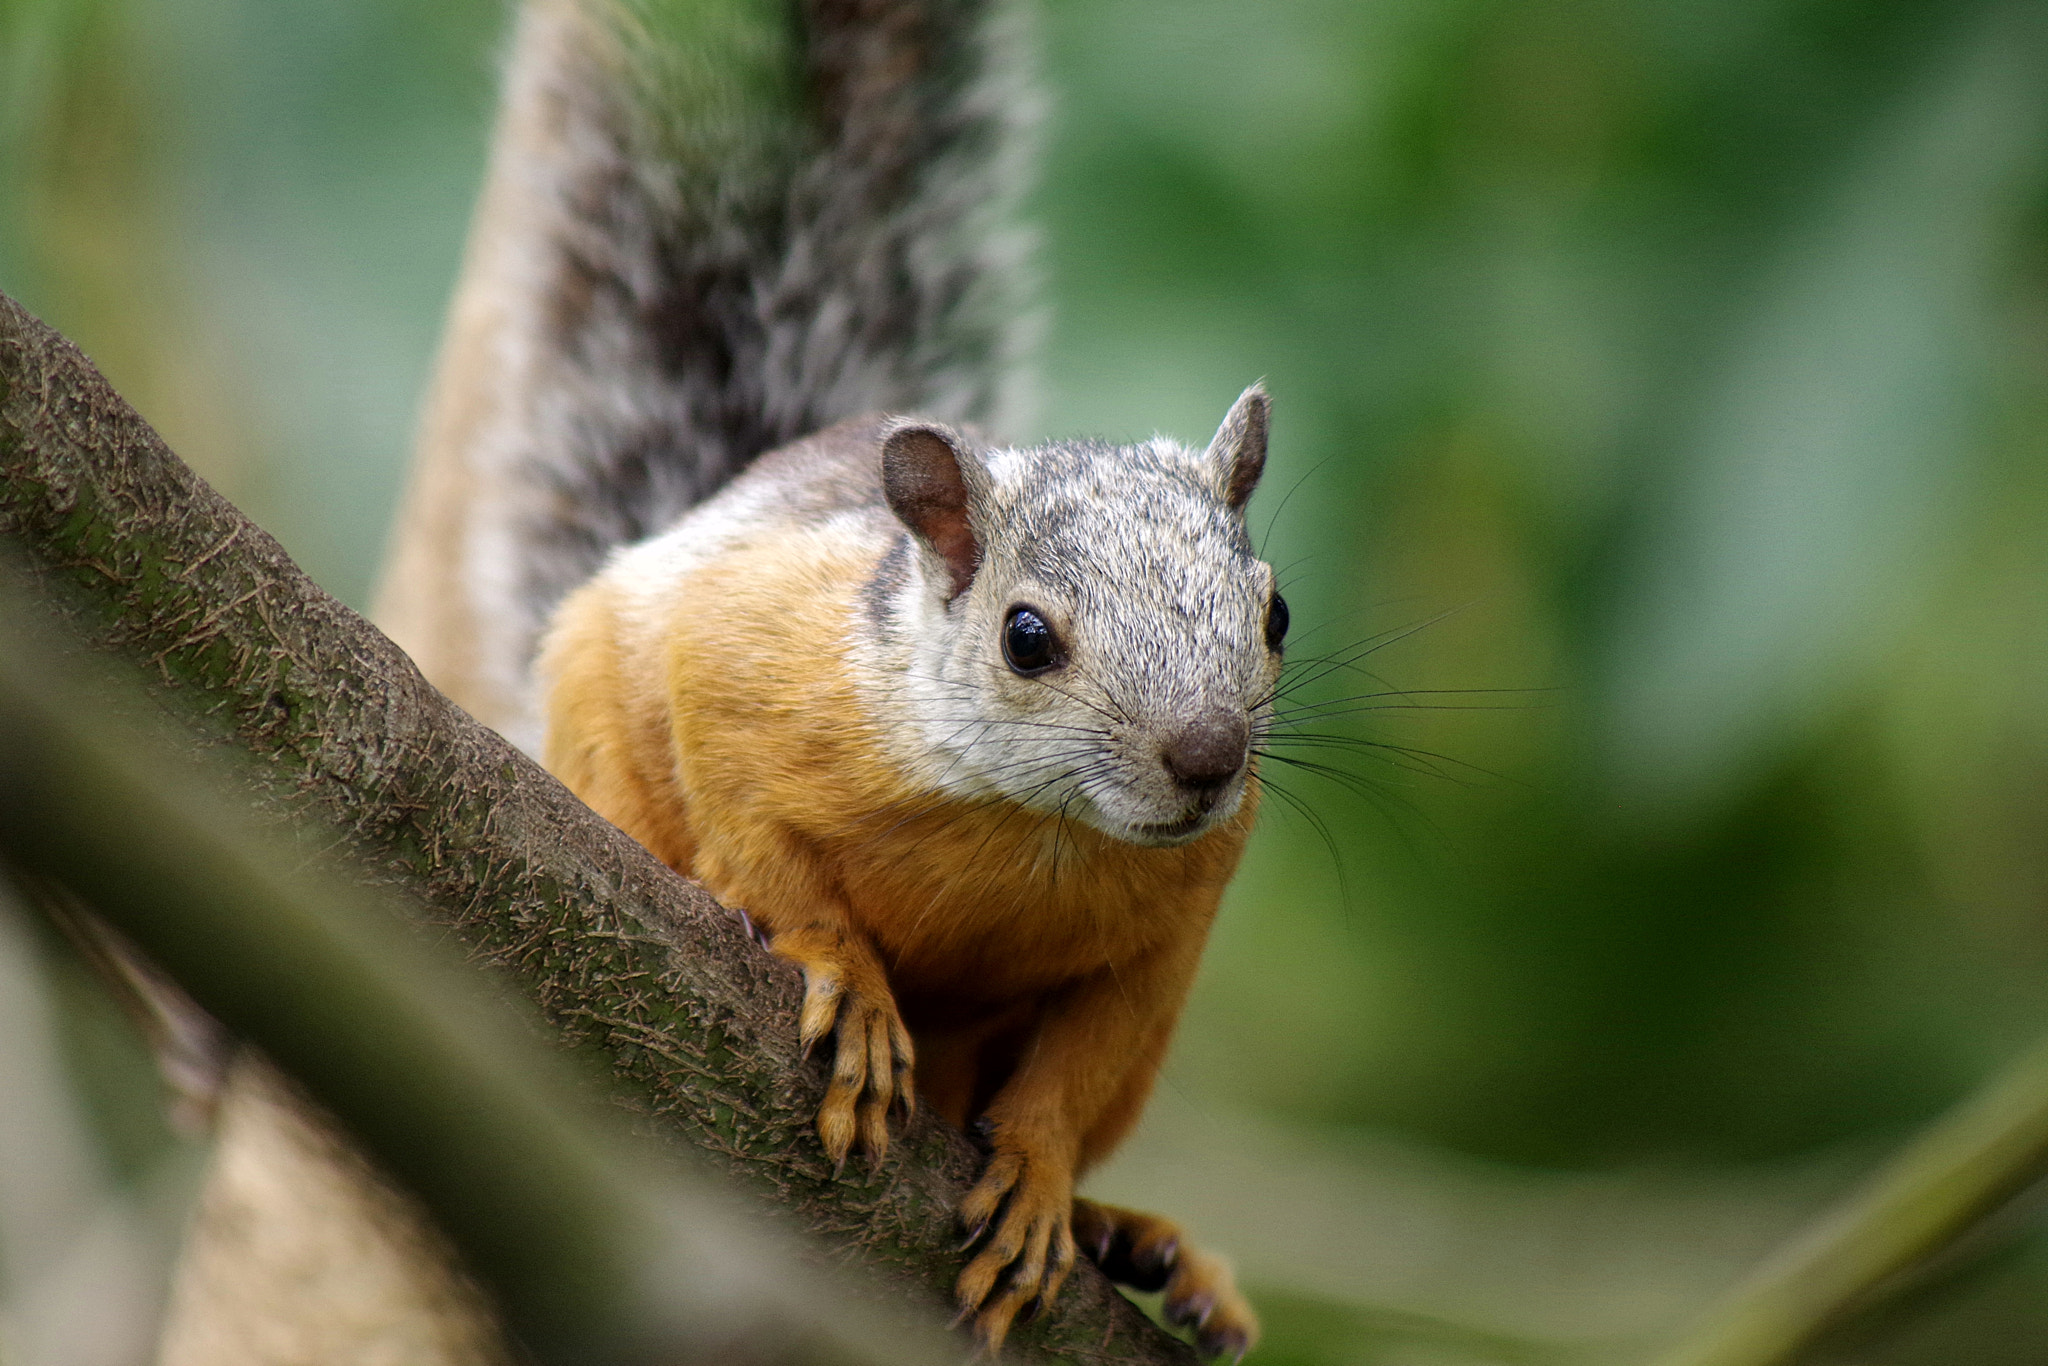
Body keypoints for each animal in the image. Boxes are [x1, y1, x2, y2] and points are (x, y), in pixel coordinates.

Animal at [380, 0, 1277, 1359]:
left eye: (1272, 611)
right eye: (1025, 637)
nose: (1207, 758)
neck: (1038, 828)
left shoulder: (1166, 938)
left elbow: (1079, 1065)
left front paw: (1039, 1176)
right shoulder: (741, 664)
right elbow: (763, 843)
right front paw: (843, 980)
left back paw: (1136, 1238)